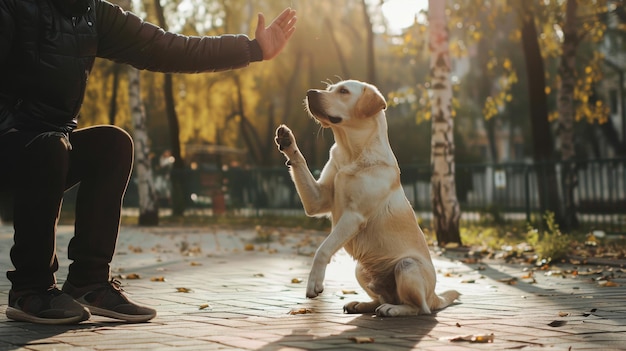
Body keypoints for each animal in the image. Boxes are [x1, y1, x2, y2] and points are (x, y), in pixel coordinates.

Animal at [272, 80, 458, 320]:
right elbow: (300, 163)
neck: (351, 153)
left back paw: (393, 309)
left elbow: (322, 249)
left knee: (419, 308)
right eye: (329, 88)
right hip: (361, 270)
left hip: (406, 266)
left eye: (343, 91)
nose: (309, 92)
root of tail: (436, 296)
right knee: (381, 298)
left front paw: (314, 282)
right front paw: (287, 141)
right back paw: (361, 304)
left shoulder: (354, 216)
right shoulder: (317, 200)